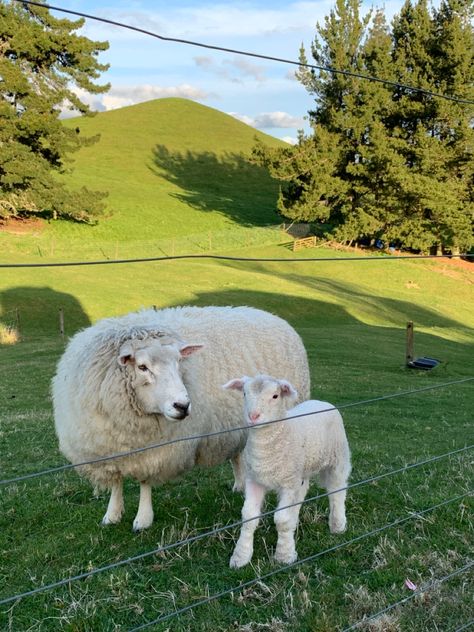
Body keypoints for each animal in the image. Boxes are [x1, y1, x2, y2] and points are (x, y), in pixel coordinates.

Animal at [52, 304, 312, 532]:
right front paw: (112, 514)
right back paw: (239, 484)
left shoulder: (154, 450)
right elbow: (116, 482)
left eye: (179, 362)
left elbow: (144, 483)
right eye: (142, 367)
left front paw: (143, 519)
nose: (183, 406)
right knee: (237, 454)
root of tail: (274, 316)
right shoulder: (106, 449)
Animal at [223, 372, 352, 572]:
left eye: (275, 396)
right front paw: (240, 557)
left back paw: (338, 525)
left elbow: (282, 520)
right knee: (302, 493)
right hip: (300, 471)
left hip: (338, 459)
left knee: (337, 492)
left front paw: (284, 555)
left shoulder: (288, 484)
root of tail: (322, 401)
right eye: (244, 393)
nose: (253, 416)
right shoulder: (255, 480)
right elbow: (249, 517)